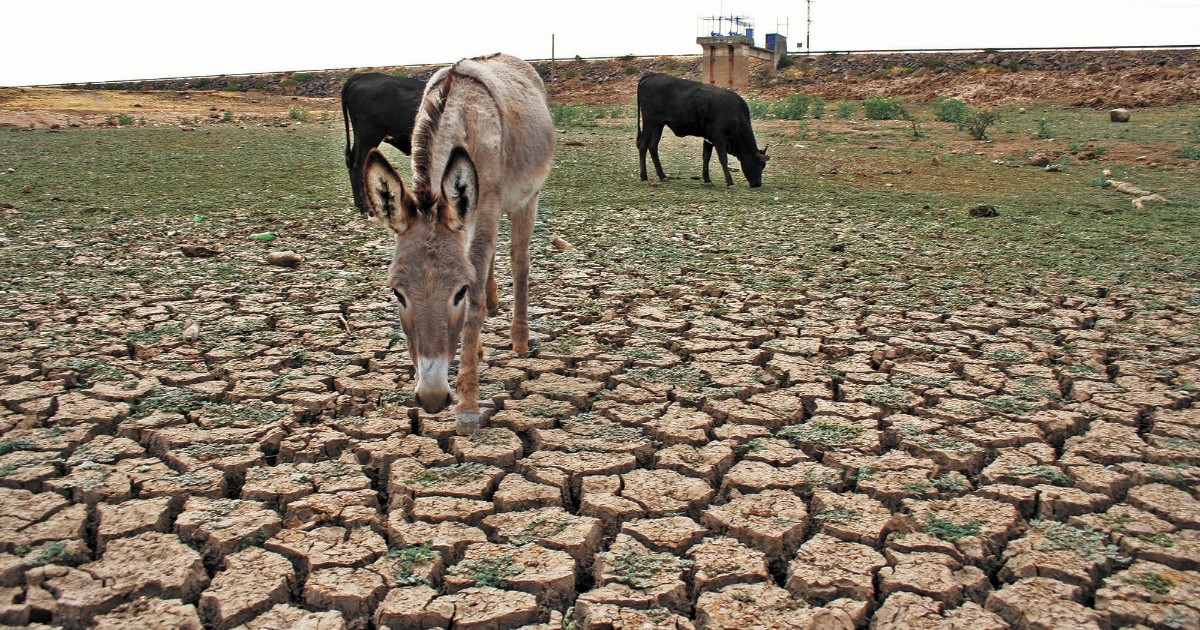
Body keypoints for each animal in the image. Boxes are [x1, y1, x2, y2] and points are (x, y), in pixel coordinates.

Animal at [340, 72, 429, 212]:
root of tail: (362, 76)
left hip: (362, 138)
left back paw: (359, 204)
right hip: (368, 136)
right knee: (359, 166)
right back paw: (367, 207)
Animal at [357, 54, 554, 434]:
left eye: (458, 293)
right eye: (397, 294)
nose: (432, 398)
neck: (458, 117)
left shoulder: (488, 207)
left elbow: (475, 304)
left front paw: (467, 405)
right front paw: (471, 353)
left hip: (528, 197)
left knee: (518, 260)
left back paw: (519, 338)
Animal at [638, 71, 768, 187]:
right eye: (761, 164)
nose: (758, 184)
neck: (736, 115)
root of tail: (652, 75)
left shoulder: (708, 138)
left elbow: (706, 157)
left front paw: (707, 180)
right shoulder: (718, 137)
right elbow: (723, 158)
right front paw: (730, 183)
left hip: (659, 124)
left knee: (653, 146)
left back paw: (662, 176)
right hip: (649, 122)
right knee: (643, 145)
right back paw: (644, 178)